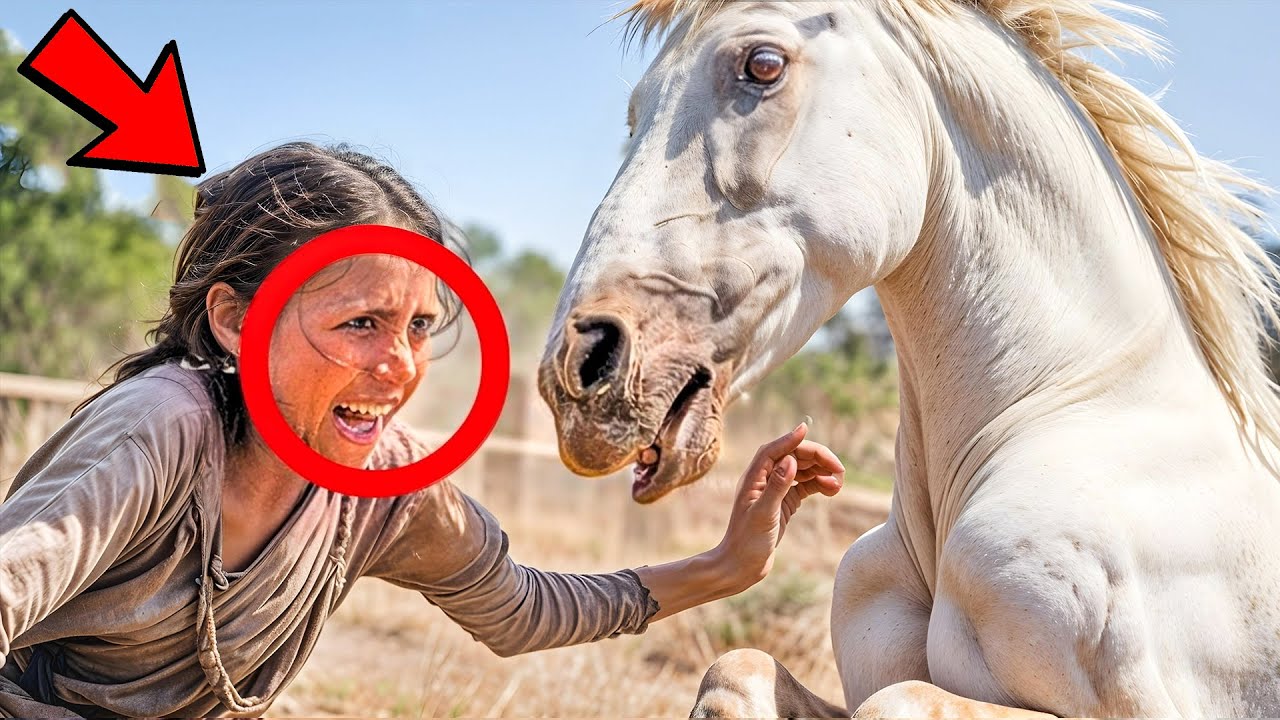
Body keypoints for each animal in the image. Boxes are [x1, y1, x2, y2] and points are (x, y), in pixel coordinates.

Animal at [535, 0, 1280, 715]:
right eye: (637, 110)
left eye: (762, 64)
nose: (580, 368)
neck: (1085, 404)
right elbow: (736, 672)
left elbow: (895, 703)